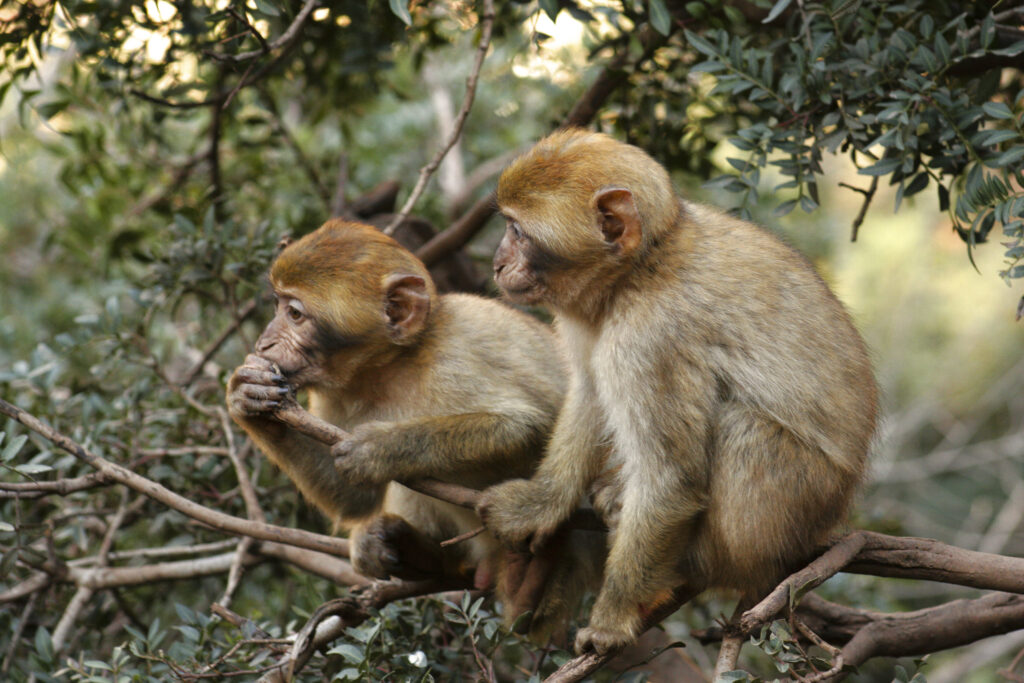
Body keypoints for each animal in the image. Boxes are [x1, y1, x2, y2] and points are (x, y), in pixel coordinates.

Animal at [226, 218, 600, 638]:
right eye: (278, 305)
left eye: (294, 314)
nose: (264, 342)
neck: (389, 368)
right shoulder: (332, 395)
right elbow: (354, 498)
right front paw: (248, 396)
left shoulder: (451, 361)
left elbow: (527, 426)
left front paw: (379, 448)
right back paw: (415, 553)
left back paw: (529, 582)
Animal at [477, 129, 879, 656]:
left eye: (519, 232)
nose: (498, 263)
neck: (639, 267)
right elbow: (590, 394)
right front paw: (542, 503)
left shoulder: (650, 338)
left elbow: (670, 480)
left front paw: (613, 619)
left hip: (791, 503)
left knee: (740, 427)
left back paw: (696, 564)